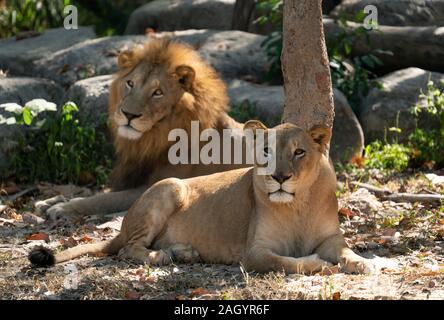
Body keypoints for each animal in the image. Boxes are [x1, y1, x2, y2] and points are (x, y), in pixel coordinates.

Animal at [31, 121, 376, 274]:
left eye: (299, 152)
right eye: (266, 151)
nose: (279, 177)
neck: (297, 205)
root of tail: (123, 226)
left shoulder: (331, 238)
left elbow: (346, 251)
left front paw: (364, 263)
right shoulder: (254, 253)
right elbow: (289, 262)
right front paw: (319, 264)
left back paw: (185, 253)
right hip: (171, 186)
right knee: (128, 249)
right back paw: (164, 256)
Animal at [40, 38, 246, 220]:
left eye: (158, 92)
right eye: (130, 83)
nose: (129, 114)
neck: (153, 139)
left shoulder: (153, 186)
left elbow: (102, 199)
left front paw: (62, 207)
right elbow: (92, 192)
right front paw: (49, 200)